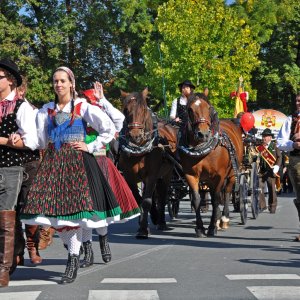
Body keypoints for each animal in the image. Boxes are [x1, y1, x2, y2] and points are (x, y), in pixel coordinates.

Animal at [118, 87, 178, 239]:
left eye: (144, 109)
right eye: (125, 110)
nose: (135, 135)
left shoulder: (152, 174)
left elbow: (146, 201)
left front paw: (144, 230)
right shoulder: (129, 176)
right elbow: (138, 199)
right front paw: (142, 225)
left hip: (167, 174)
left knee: (162, 196)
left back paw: (161, 222)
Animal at [178, 92, 244, 238]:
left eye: (209, 108)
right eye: (190, 109)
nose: (203, 134)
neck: (201, 150)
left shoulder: (218, 176)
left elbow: (216, 199)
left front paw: (212, 227)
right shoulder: (190, 175)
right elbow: (196, 200)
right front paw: (200, 228)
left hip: (232, 174)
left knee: (226, 193)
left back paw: (224, 218)